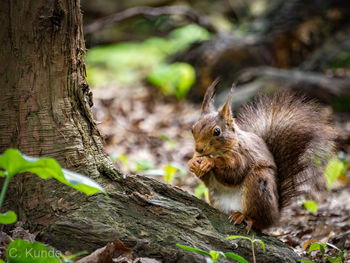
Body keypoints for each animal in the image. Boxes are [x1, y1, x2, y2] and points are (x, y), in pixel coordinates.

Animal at [187, 81, 334, 233]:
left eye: (217, 131)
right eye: (193, 129)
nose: (199, 149)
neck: (219, 151)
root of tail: (275, 216)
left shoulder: (243, 156)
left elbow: (233, 173)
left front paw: (210, 162)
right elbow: (206, 180)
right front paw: (192, 163)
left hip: (258, 185)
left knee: (259, 221)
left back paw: (244, 217)